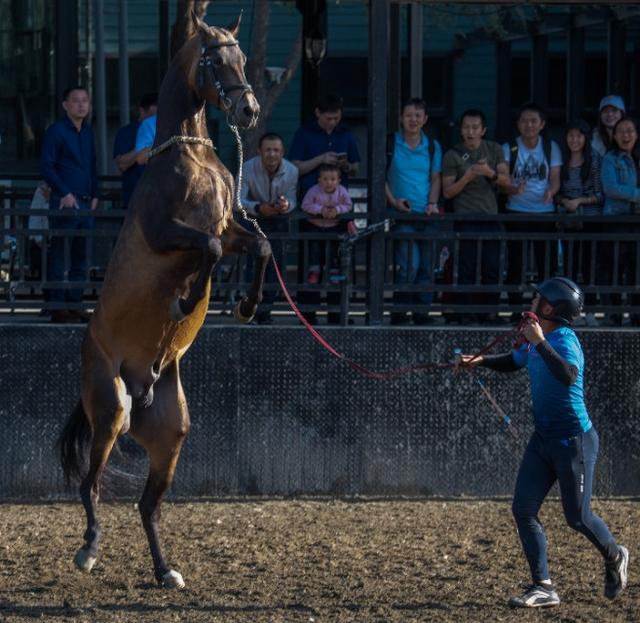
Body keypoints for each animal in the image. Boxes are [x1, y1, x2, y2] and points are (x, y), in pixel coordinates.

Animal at [57, 14, 268, 588]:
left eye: (242, 57)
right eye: (215, 60)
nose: (248, 110)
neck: (188, 153)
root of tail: (138, 391)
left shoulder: (229, 226)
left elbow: (258, 246)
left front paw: (244, 307)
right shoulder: (169, 233)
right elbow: (209, 251)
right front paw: (185, 302)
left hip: (170, 435)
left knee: (147, 506)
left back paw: (165, 570)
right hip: (109, 412)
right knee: (90, 485)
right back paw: (88, 549)